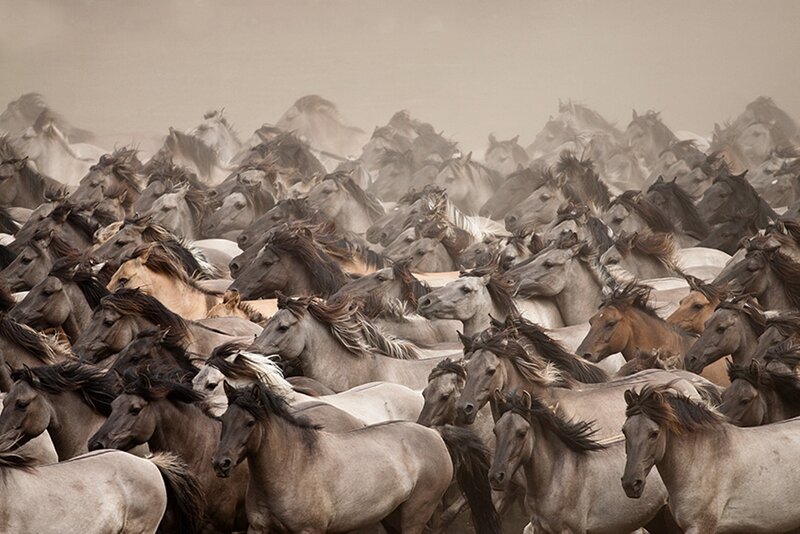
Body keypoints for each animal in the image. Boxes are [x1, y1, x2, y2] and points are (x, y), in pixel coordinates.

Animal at [212, 382, 500, 534]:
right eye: (223, 420)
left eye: (249, 422)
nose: (220, 463)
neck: (294, 465)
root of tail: (435, 433)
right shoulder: (258, 528)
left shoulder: (309, 531)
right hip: (393, 516)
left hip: (415, 515)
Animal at [490, 390, 668, 533]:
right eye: (495, 431)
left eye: (521, 433)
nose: (496, 477)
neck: (555, 477)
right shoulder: (539, 528)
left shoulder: (571, 530)